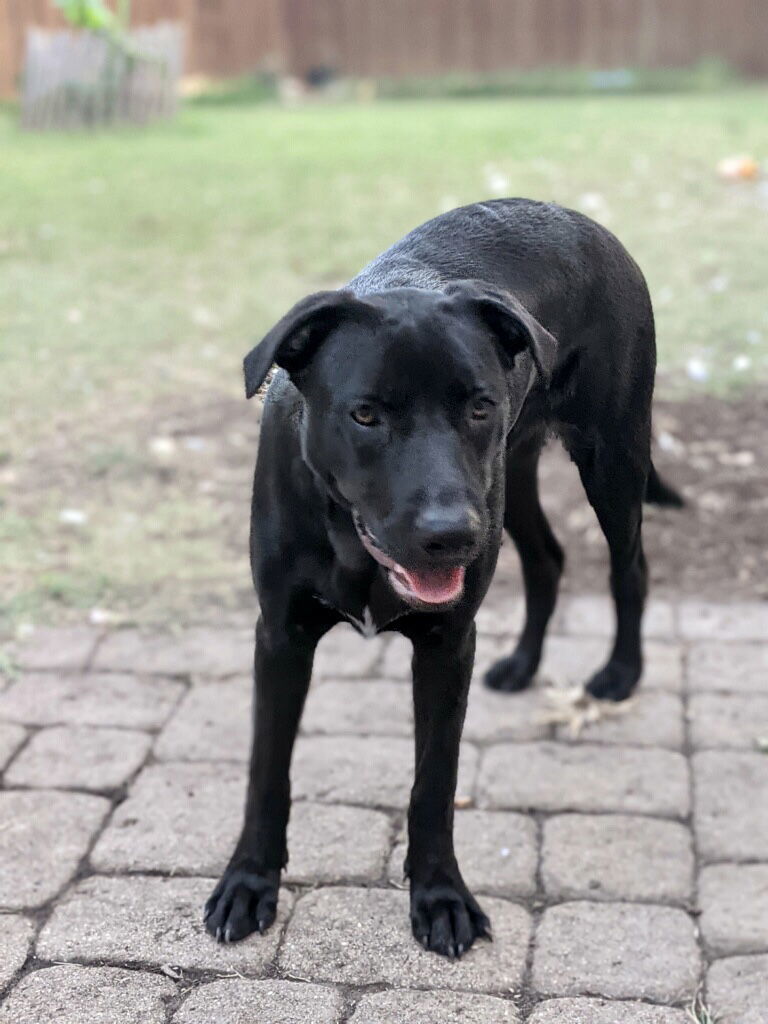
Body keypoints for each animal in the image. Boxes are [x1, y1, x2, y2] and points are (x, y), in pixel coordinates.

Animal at [202, 197, 679, 958]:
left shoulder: (447, 642)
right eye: (365, 414)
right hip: (508, 478)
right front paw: (249, 883)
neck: (353, 542)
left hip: (604, 460)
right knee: (547, 557)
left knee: (629, 565)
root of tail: (576, 216)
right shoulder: (280, 635)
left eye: (477, 405)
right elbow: (266, 770)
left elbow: (434, 783)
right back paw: (523, 663)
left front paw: (441, 897)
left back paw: (619, 673)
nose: (450, 535)